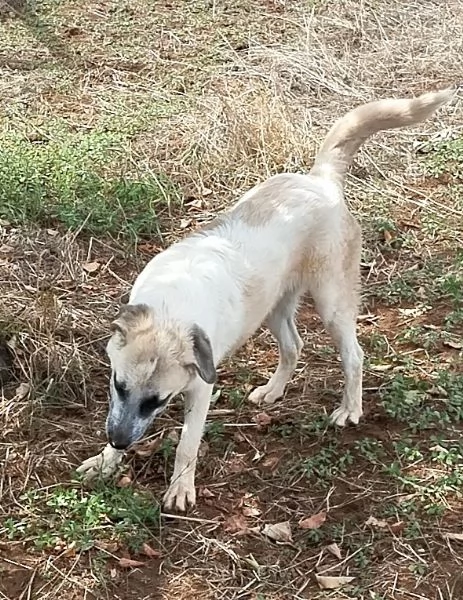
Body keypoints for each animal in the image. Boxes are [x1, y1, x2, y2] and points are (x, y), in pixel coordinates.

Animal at [76, 88, 454, 510]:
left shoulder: (200, 390)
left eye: (156, 401)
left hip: (332, 303)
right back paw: (273, 390)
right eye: (119, 386)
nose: (119, 441)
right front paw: (105, 462)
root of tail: (320, 180)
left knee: (353, 355)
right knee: (294, 346)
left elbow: (187, 445)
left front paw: (180, 487)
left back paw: (349, 409)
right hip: (274, 308)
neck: (170, 312)